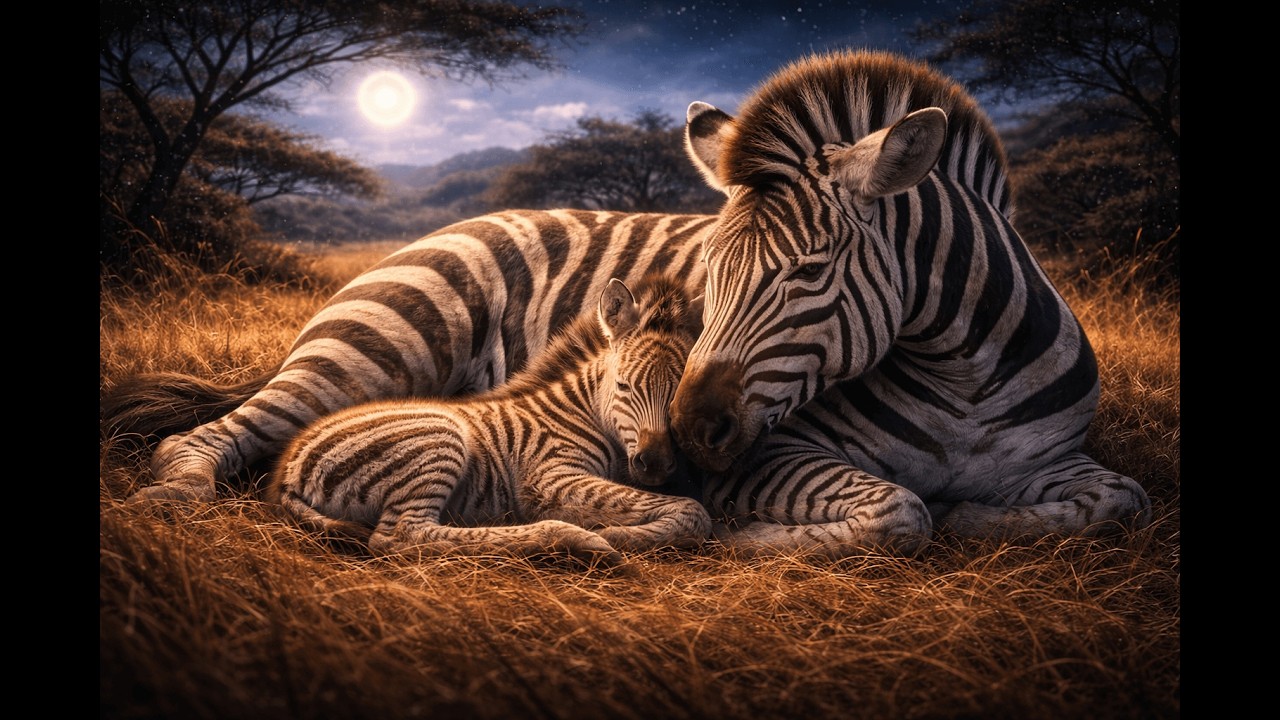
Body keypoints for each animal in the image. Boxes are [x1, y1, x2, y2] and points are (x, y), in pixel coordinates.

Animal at [265, 274, 710, 565]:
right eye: (623, 386)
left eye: (677, 394)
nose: (655, 463)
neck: (582, 412)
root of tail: (288, 468)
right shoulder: (549, 475)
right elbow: (692, 510)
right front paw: (615, 533)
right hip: (438, 442)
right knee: (402, 537)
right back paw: (572, 540)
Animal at [668, 49, 1152, 557]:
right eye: (709, 265)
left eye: (810, 272)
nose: (690, 429)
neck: (966, 382)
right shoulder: (769, 453)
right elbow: (900, 509)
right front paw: (738, 533)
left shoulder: (1050, 458)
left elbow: (1122, 498)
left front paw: (969, 515)